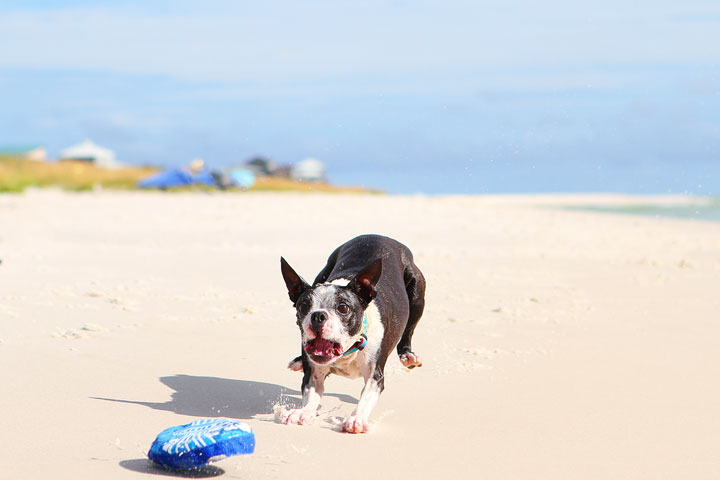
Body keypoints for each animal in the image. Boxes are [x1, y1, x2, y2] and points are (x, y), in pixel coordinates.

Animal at [278, 234, 424, 434]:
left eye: (343, 308)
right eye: (303, 307)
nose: (318, 315)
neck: (348, 350)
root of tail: (379, 236)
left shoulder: (375, 375)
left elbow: (366, 397)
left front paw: (356, 419)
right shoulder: (314, 374)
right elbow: (311, 393)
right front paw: (302, 412)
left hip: (417, 294)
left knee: (410, 328)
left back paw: (408, 355)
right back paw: (299, 360)